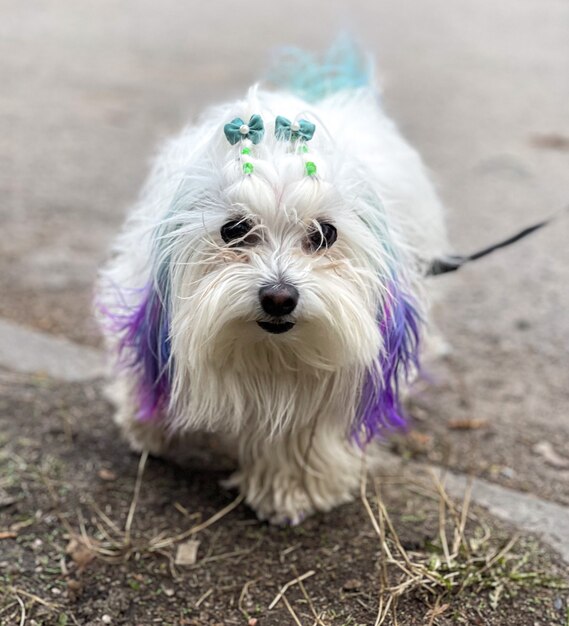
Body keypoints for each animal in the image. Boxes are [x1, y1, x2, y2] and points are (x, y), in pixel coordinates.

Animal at [95, 41, 446, 524]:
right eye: (235, 230)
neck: (269, 353)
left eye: (323, 234)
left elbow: (302, 429)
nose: (279, 297)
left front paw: (290, 490)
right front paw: (147, 426)